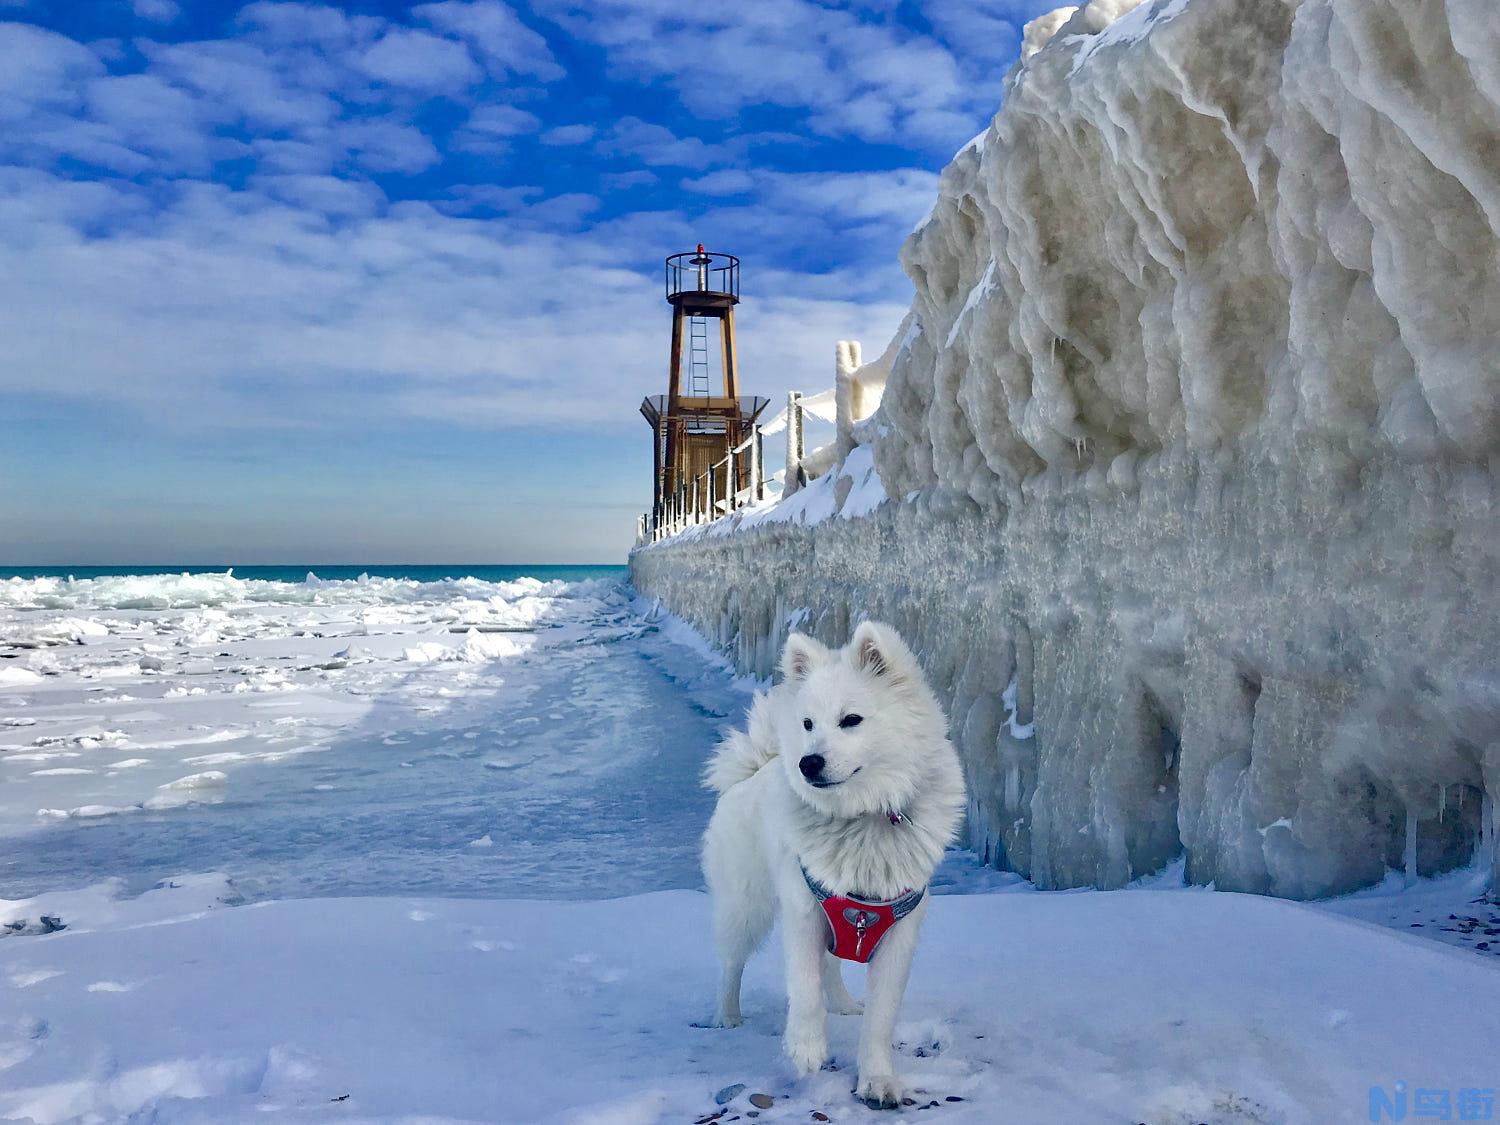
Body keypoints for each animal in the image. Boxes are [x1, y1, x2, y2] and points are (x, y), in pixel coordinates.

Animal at [699, 627, 960, 1110]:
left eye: (851, 719)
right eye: (807, 725)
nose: (808, 763)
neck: (864, 818)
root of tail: (752, 770)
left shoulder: (898, 928)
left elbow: (880, 1016)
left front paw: (878, 1080)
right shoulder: (804, 909)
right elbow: (802, 984)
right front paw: (805, 1050)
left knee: (832, 965)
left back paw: (841, 1003)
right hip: (746, 907)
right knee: (731, 963)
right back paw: (727, 1017)